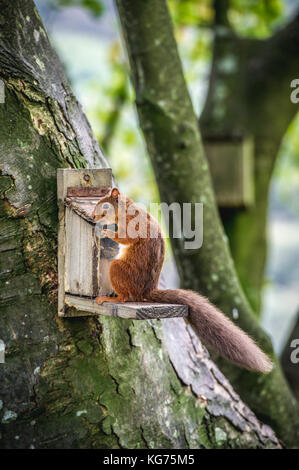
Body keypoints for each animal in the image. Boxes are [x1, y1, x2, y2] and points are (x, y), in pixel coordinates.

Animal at [92, 188, 274, 374]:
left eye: (104, 206)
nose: (92, 216)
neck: (125, 211)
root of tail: (145, 291)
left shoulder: (135, 225)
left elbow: (128, 237)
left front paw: (106, 232)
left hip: (119, 270)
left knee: (125, 297)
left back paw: (109, 298)